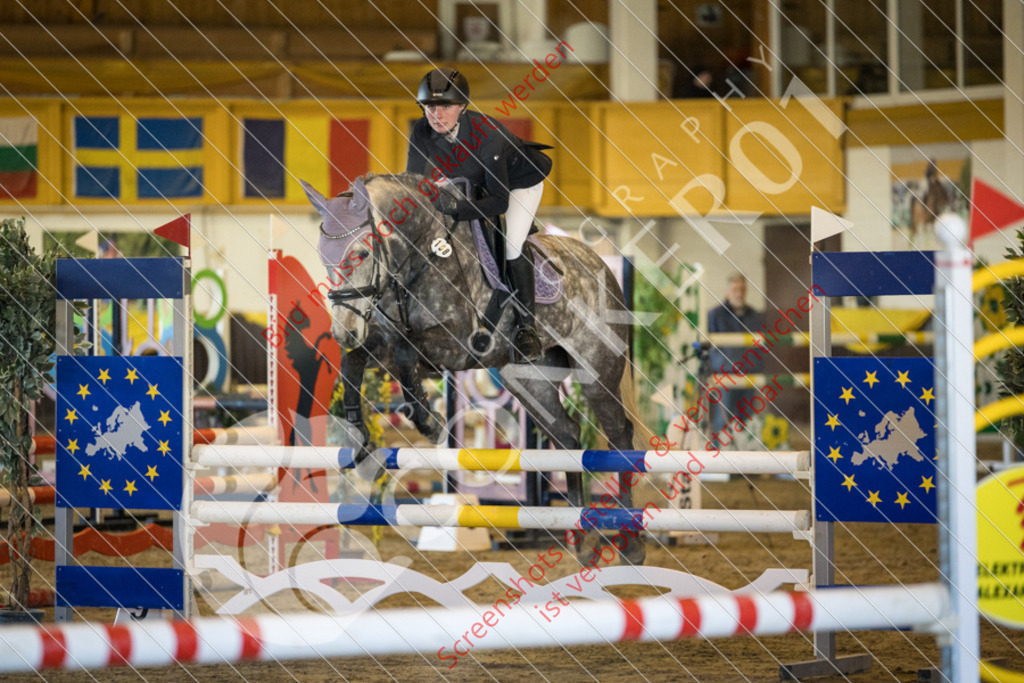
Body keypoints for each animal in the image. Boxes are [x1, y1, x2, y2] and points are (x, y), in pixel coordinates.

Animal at [299, 174, 643, 565]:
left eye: (361, 254)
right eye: (323, 258)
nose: (343, 333)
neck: (418, 259)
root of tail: (598, 262)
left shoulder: (460, 345)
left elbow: (405, 351)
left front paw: (430, 422)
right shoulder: (380, 341)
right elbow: (354, 363)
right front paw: (359, 436)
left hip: (597, 370)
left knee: (618, 434)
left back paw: (631, 544)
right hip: (528, 381)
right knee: (567, 434)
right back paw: (581, 540)